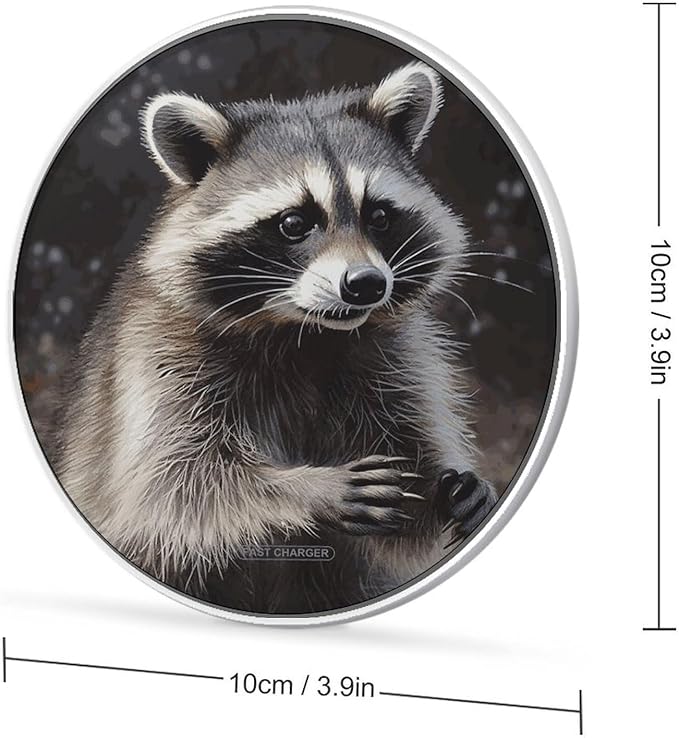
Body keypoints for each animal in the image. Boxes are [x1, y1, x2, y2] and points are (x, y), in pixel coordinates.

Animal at [56, 62, 498, 615]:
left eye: (378, 216)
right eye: (293, 223)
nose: (366, 284)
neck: (304, 333)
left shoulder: (393, 357)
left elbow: (408, 510)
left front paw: (453, 490)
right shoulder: (158, 355)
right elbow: (171, 488)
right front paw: (309, 488)